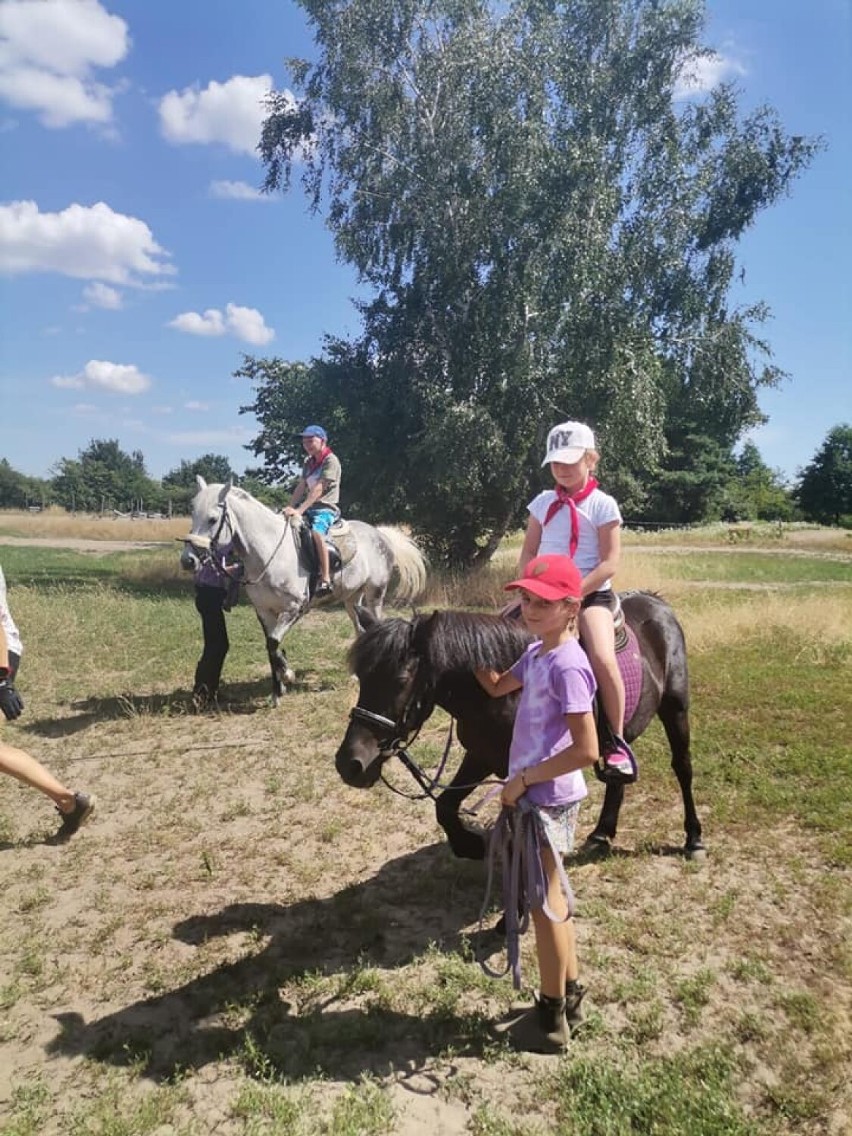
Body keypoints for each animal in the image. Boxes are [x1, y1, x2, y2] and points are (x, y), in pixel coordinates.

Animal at [179, 477, 427, 699]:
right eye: (193, 514)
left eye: (212, 519)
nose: (188, 560)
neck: (269, 552)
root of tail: (379, 534)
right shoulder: (264, 611)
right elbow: (271, 646)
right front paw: (278, 690)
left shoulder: (294, 608)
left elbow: (274, 642)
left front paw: (287, 676)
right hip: (352, 600)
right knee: (361, 630)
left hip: (375, 593)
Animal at [333, 599, 708, 854]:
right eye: (361, 676)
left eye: (400, 681)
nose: (349, 764)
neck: (506, 693)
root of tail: (656, 603)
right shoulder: (481, 756)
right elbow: (445, 806)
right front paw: (471, 846)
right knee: (618, 777)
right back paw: (602, 834)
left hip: (675, 709)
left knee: (683, 767)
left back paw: (694, 838)